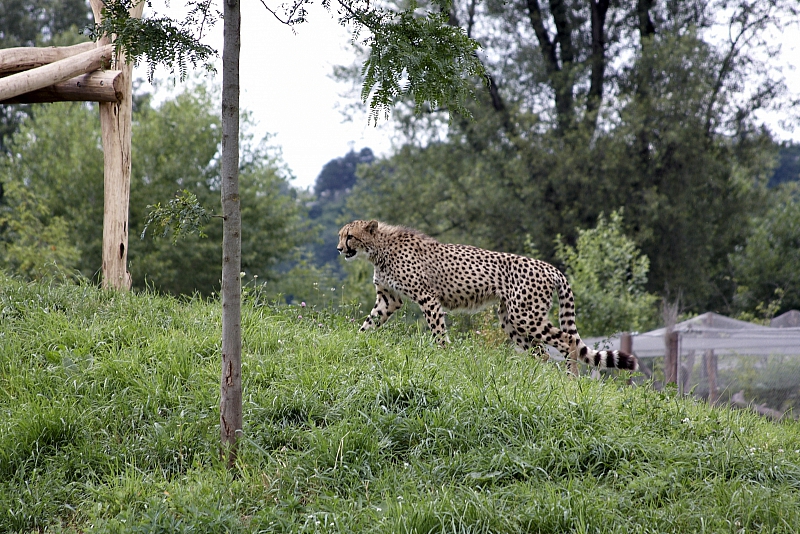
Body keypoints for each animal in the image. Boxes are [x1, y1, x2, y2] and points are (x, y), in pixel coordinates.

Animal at [336, 220, 636, 374]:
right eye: (341, 236)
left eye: (350, 236)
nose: (339, 249)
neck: (378, 248)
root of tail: (550, 267)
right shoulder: (389, 299)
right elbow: (368, 324)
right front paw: (353, 343)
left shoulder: (427, 298)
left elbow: (438, 333)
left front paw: (443, 357)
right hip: (511, 319)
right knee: (542, 353)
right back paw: (539, 381)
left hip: (525, 316)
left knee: (567, 341)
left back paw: (569, 381)